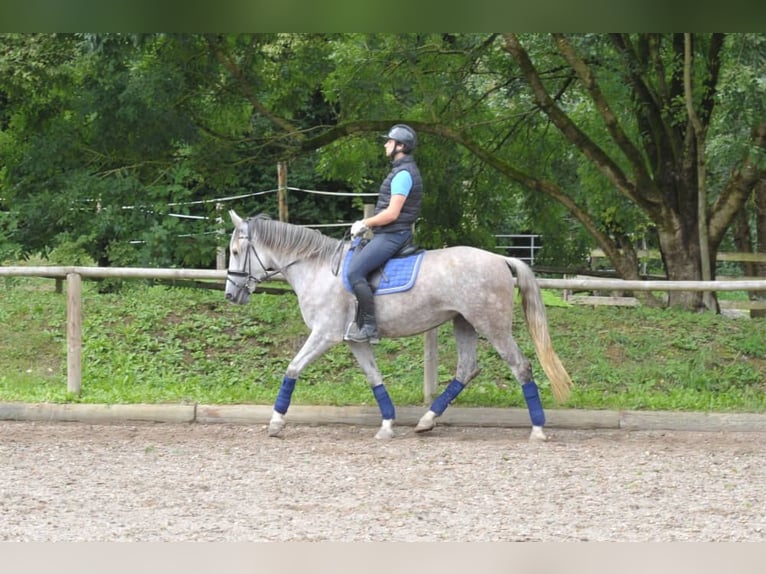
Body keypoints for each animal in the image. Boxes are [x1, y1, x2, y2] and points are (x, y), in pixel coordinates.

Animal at [225, 214, 572, 444]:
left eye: (235, 252)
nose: (231, 295)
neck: (318, 269)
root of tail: (500, 258)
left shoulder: (325, 335)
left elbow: (293, 368)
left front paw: (275, 422)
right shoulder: (354, 340)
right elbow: (374, 377)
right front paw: (387, 424)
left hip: (492, 325)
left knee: (521, 366)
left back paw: (538, 429)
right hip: (464, 323)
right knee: (466, 369)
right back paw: (426, 421)